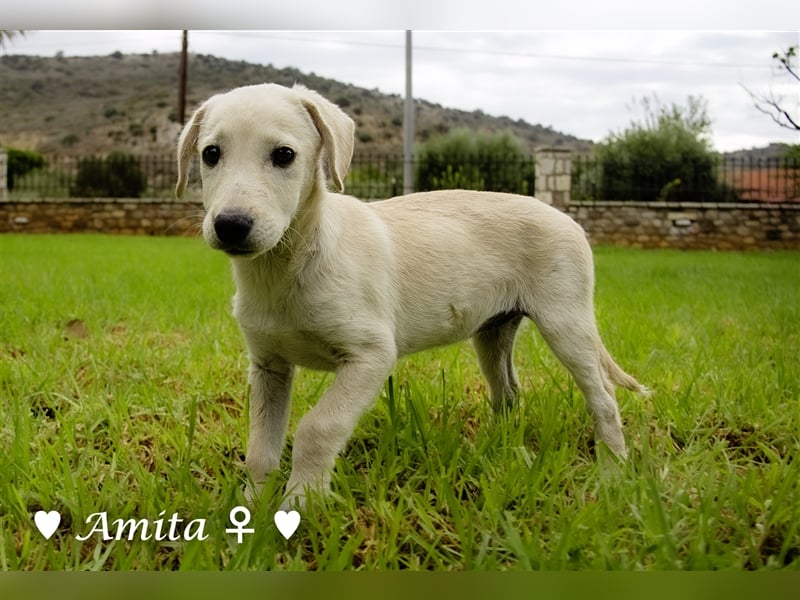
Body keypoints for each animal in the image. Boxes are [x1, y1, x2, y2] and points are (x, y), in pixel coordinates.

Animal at [177, 82, 648, 508]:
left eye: (284, 155)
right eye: (210, 154)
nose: (231, 225)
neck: (289, 263)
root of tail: (567, 218)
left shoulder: (370, 356)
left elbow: (318, 427)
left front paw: (300, 504)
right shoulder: (268, 367)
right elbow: (260, 448)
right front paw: (250, 509)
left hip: (566, 322)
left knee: (604, 400)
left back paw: (612, 475)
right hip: (493, 331)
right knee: (509, 394)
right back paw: (499, 454)